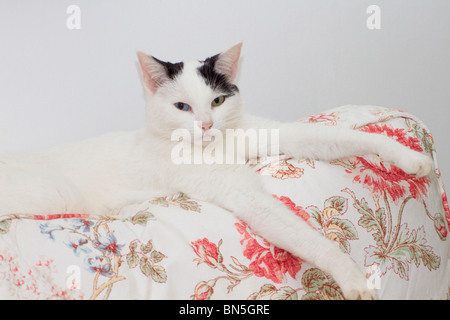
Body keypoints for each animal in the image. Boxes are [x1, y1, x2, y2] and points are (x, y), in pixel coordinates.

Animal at [0, 43, 436, 300]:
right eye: (182, 107)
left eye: (218, 100)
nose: (207, 125)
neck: (216, 146)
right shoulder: (243, 195)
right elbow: (307, 238)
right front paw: (354, 279)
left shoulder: (276, 133)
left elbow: (338, 135)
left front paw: (411, 158)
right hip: (50, 193)